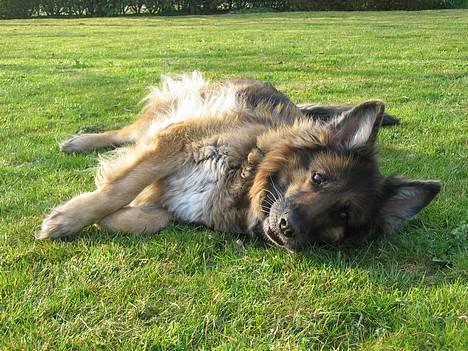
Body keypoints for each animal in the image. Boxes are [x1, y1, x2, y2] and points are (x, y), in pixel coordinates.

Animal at [34, 72, 440, 253]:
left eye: (343, 215)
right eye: (318, 178)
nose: (288, 227)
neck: (244, 177)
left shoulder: (179, 198)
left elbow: (149, 217)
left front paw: (108, 220)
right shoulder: (178, 141)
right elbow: (120, 187)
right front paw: (69, 218)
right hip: (175, 110)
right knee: (128, 132)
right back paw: (81, 141)